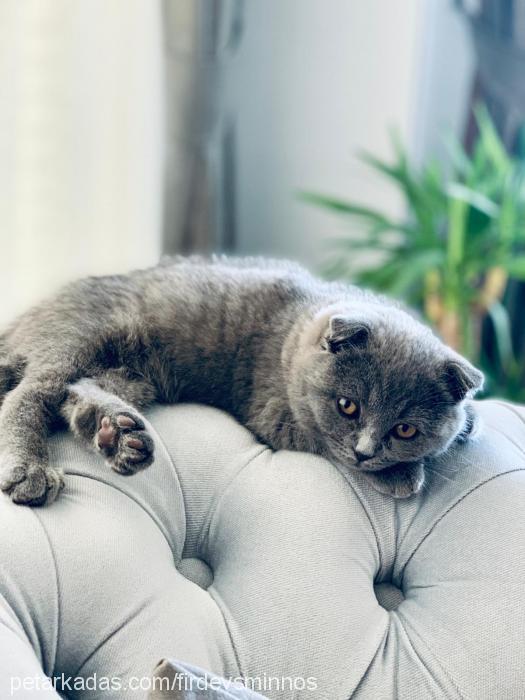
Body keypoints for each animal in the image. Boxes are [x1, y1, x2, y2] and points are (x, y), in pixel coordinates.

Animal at [0, 258, 482, 504]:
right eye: (348, 406)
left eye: (405, 429)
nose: (366, 453)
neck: (294, 330)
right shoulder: (275, 410)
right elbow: (324, 439)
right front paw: (402, 474)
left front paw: (468, 421)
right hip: (78, 336)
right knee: (31, 393)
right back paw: (31, 470)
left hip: (132, 375)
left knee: (75, 393)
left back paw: (119, 436)